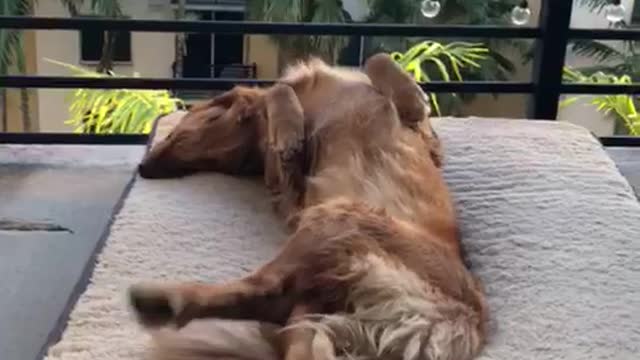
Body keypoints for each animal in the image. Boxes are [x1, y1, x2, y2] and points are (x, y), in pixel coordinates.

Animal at [130, 54, 490, 360]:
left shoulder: (430, 143)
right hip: (332, 234)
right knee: (266, 291)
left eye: (177, 139)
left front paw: (414, 98)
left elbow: (376, 60)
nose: (143, 168)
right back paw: (162, 299)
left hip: (321, 280)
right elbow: (281, 92)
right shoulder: (293, 195)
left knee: (275, 304)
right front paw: (288, 130)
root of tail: (463, 319)